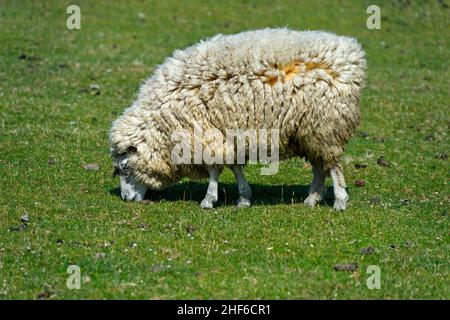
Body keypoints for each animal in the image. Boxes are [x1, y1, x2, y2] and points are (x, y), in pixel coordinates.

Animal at [109, 27, 366, 210]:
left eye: (124, 167)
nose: (126, 198)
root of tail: (352, 54)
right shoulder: (227, 132)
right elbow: (233, 165)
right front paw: (243, 197)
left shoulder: (205, 132)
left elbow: (214, 168)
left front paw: (209, 200)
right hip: (309, 131)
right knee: (320, 165)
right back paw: (312, 198)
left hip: (327, 126)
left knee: (332, 165)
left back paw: (339, 201)